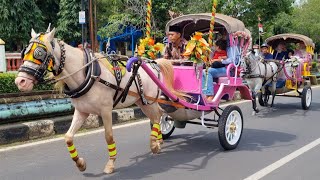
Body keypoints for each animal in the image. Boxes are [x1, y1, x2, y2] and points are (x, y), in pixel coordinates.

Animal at [15, 28, 181, 174]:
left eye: (39, 53)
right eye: (25, 52)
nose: (20, 81)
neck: (87, 74)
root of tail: (153, 64)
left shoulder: (106, 110)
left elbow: (109, 136)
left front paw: (110, 164)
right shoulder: (81, 111)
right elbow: (68, 137)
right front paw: (80, 164)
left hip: (149, 100)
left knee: (157, 116)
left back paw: (155, 144)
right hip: (142, 101)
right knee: (157, 116)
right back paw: (158, 140)